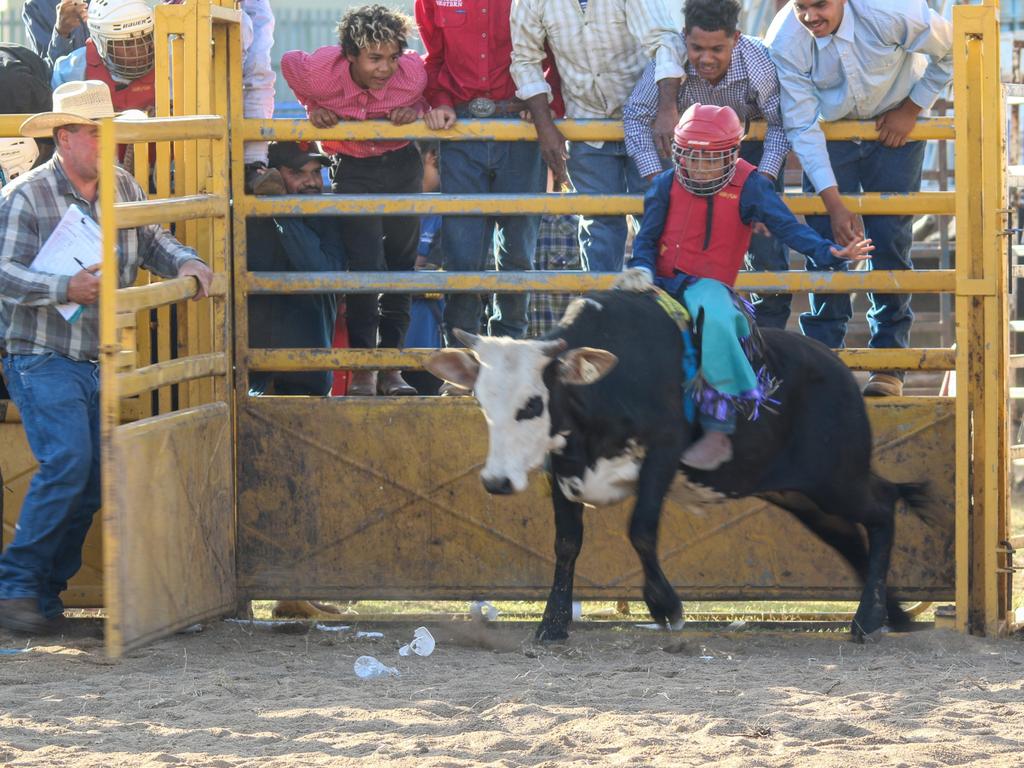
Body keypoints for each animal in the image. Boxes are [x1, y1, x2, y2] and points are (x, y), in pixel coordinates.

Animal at [423, 288, 929, 643]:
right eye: (482, 401)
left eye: (531, 404)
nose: (496, 481)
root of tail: (843, 372)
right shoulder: (562, 466)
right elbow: (567, 544)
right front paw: (553, 623)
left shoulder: (663, 453)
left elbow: (642, 529)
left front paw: (665, 606)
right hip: (803, 497)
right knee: (851, 538)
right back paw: (891, 613)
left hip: (838, 480)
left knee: (883, 509)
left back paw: (868, 619)